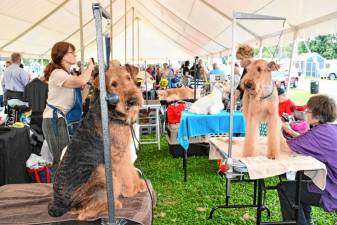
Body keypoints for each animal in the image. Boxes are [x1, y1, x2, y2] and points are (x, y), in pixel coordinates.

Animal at [47, 64, 146, 221]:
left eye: (129, 78)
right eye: (113, 84)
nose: (131, 101)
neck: (111, 110)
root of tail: (58, 202)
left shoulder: (124, 151)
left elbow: (130, 169)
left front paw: (139, 184)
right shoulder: (118, 155)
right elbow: (126, 172)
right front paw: (133, 190)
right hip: (100, 171)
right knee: (82, 214)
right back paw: (116, 203)